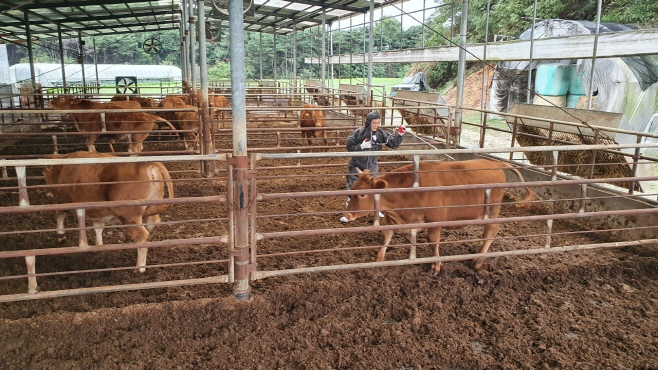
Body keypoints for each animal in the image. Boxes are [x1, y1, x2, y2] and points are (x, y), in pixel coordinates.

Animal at [44, 150, 176, 272]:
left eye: (44, 173)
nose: (48, 193)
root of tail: (144, 164)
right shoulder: (97, 209)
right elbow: (98, 226)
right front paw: (98, 245)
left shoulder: (66, 199)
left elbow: (61, 214)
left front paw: (62, 235)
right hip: (152, 205)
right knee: (153, 222)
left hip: (129, 215)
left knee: (141, 236)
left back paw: (139, 268)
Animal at [340, 159, 536, 274]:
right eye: (353, 189)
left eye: (363, 195)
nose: (346, 215)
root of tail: (494, 163)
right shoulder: (392, 220)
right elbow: (385, 238)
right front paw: (378, 261)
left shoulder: (435, 222)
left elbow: (433, 241)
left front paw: (435, 265)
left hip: (493, 209)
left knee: (491, 230)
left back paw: (478, 259)